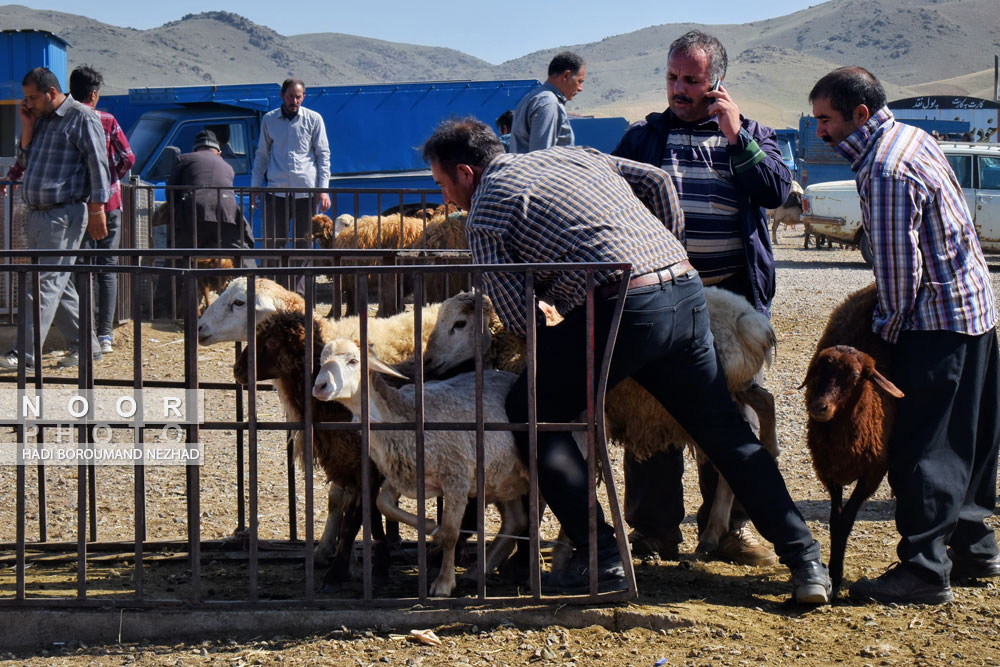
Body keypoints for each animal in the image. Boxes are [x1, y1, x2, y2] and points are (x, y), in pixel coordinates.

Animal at [312, 336, 532, 596]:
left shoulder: (456, 477)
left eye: (353, 361)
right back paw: (477, 571)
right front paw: (430, 527)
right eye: (322, 361)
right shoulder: (403, 474)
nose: (320, 387)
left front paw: (443, 583)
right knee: (516, 521)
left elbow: (451, 533)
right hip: (501, 478)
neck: (402, 415)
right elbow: (384, 504)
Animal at [422, 288, 780, 560]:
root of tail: (750, 320)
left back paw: (712, 533)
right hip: (733, 390)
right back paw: (768, 450)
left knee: (730, 462)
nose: (427, 362)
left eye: (460, 324)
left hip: (715, 393)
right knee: (761, 410)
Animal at [800, 284, 904, 596]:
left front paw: (837, 575)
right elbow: (835, 520)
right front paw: (833, 575)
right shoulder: (828, 472)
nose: (819, 407)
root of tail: (872, 286)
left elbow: (846, 521)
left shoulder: (872, 474)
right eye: (819, 370)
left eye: (856, 375)